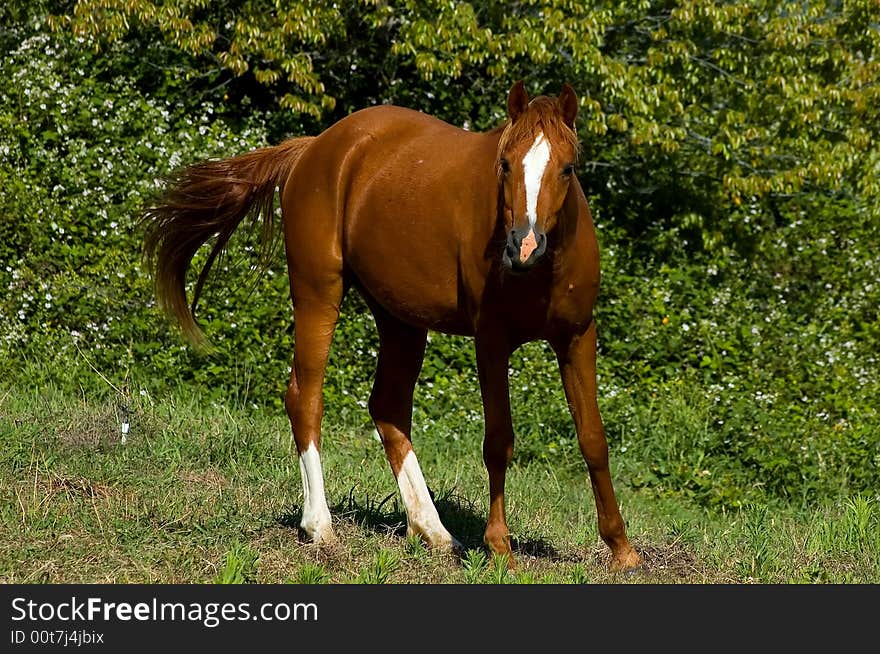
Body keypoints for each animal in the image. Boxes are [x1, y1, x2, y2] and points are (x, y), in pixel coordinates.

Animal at [143, 82, 640, 576]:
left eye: (567, 168)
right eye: (504, 164)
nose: (524, 245)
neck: (542, 271)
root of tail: (315, 147)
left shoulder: (577, 338)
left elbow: (593, 439)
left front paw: (622, 549)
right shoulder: (492, 342)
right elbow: (499, 441)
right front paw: (500, 548)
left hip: (400, 320)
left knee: (388, 407)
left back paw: (434, 531)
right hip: (318, 292)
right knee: (306, 397)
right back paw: (320, 526)